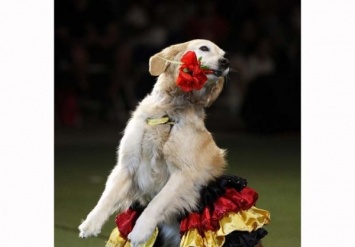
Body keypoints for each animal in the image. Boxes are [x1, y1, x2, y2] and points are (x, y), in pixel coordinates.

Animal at [78, 39, 231, 246]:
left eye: (223, 54)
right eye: (204, 48)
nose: (225, 62)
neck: (169, 110)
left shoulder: (185, 174)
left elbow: (158, 202)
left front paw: (140, 231)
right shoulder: (127, 165)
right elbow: (107, 196)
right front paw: (90, 224)